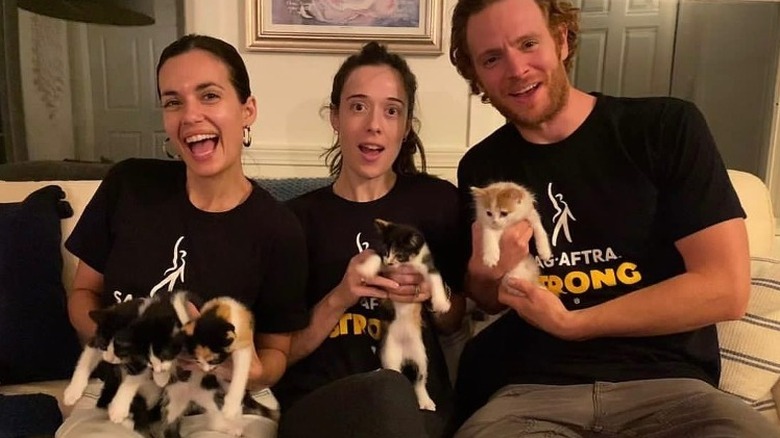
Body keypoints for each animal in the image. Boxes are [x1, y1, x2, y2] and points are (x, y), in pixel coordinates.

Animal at [354, 219, 450, 410]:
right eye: (386, 251)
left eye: (399, 254)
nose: (390, 262)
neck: (407, 264)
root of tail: (404, 354)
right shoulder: (385, 266)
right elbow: (376, 257)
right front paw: (366, 269)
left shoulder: (427, 265)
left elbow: (435, 279)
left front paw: (441, 303)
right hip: (388, 352)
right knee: (395, 373)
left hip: (421, 355)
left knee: (419, 379)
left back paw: (425, 401)